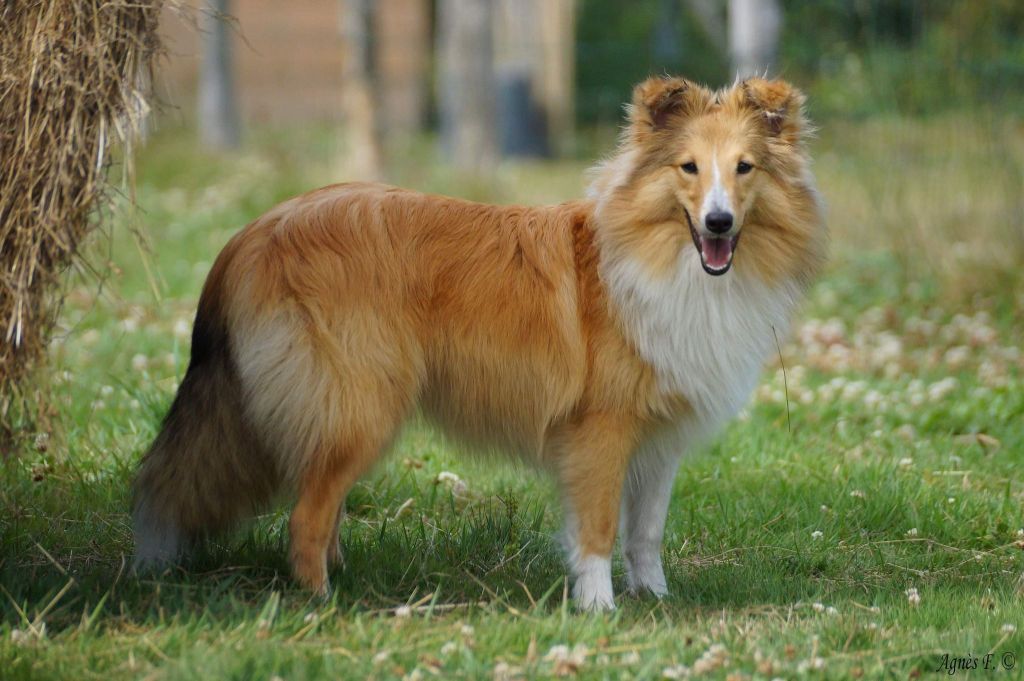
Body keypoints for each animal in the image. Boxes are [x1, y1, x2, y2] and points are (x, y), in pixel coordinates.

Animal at [134, 76, 823, 606]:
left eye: (744, 168)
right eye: (689, 168)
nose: (718, 222)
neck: (664, 259)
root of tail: (250, 234)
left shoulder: (657, 442)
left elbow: (645, 532)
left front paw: (654, 599)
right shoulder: (599, 432)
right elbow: (598, 529)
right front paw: (599, 607)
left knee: (320, 509)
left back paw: (343, 579)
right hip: (359, 405)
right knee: (304, 518)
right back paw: (323, 604)